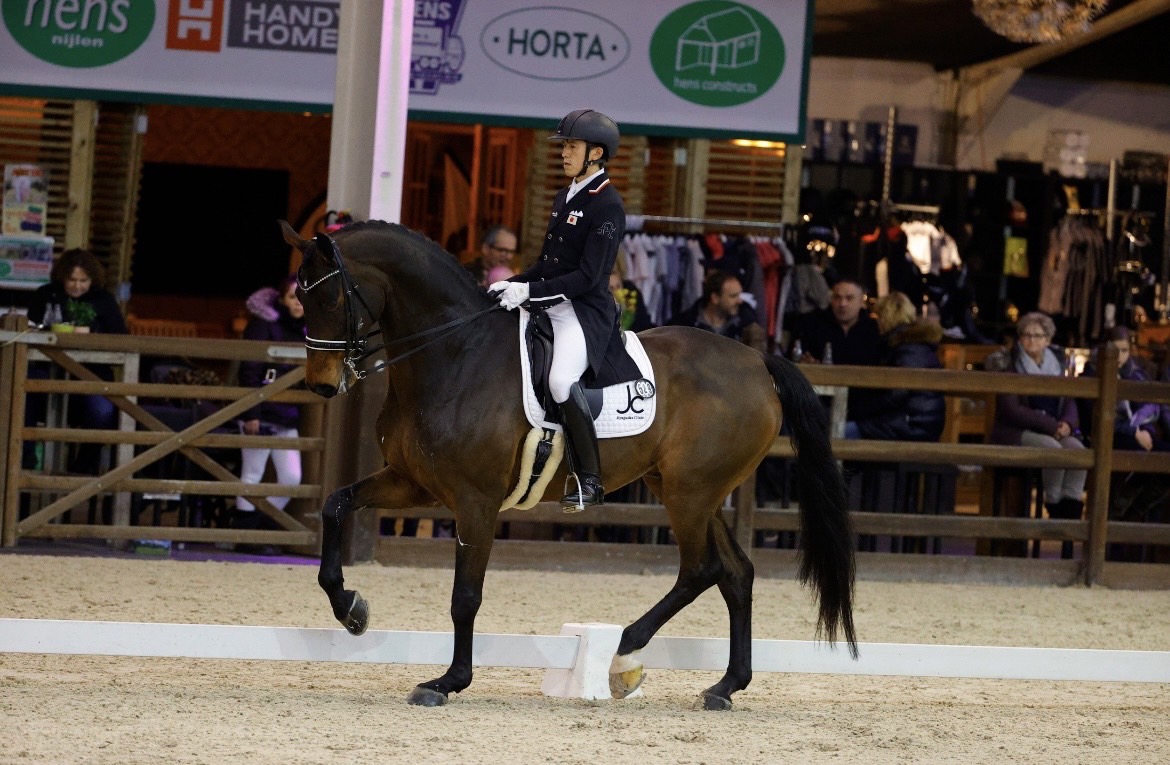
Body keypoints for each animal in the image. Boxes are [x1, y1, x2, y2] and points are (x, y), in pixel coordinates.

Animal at [278, 218, 856, 711]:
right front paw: (350, 608)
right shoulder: (411, 483)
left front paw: (447, 682)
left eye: (329, 294)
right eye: (299, 296)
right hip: (691, 490)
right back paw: (724, 686)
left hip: (689, 494)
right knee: (736, 574)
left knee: (701, 570)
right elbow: (334, 506)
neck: (456, 353)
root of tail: (758, 362)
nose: (322, 384)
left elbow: (465, 596)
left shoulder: (475, 501)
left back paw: (624, 653)